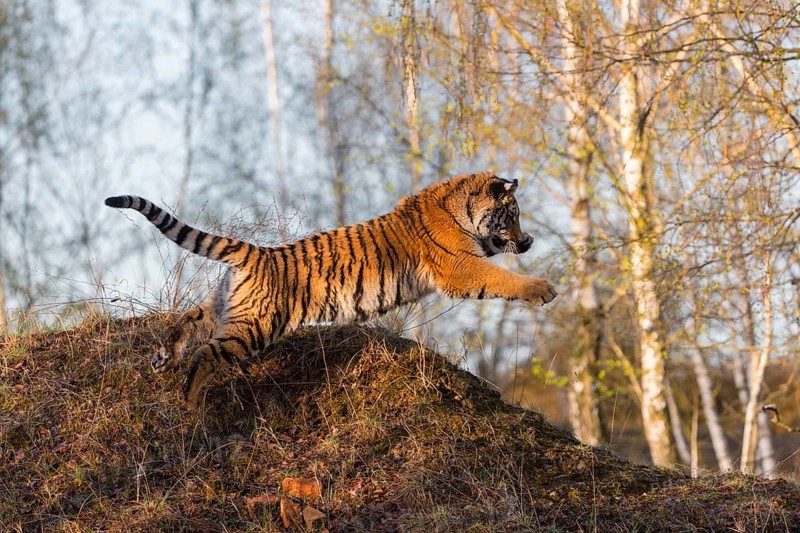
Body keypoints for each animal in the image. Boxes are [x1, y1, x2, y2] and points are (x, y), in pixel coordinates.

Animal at [105, 172, 558, 408]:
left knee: (187, 322)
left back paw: (163, 359)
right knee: (206, 353)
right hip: (254, 326)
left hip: (225, 307)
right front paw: (543, 289)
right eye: (512, 215)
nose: (527, 240)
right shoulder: (460, 267)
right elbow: (500, 279)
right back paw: (191, 402)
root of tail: (256, 253)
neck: (459, 209)